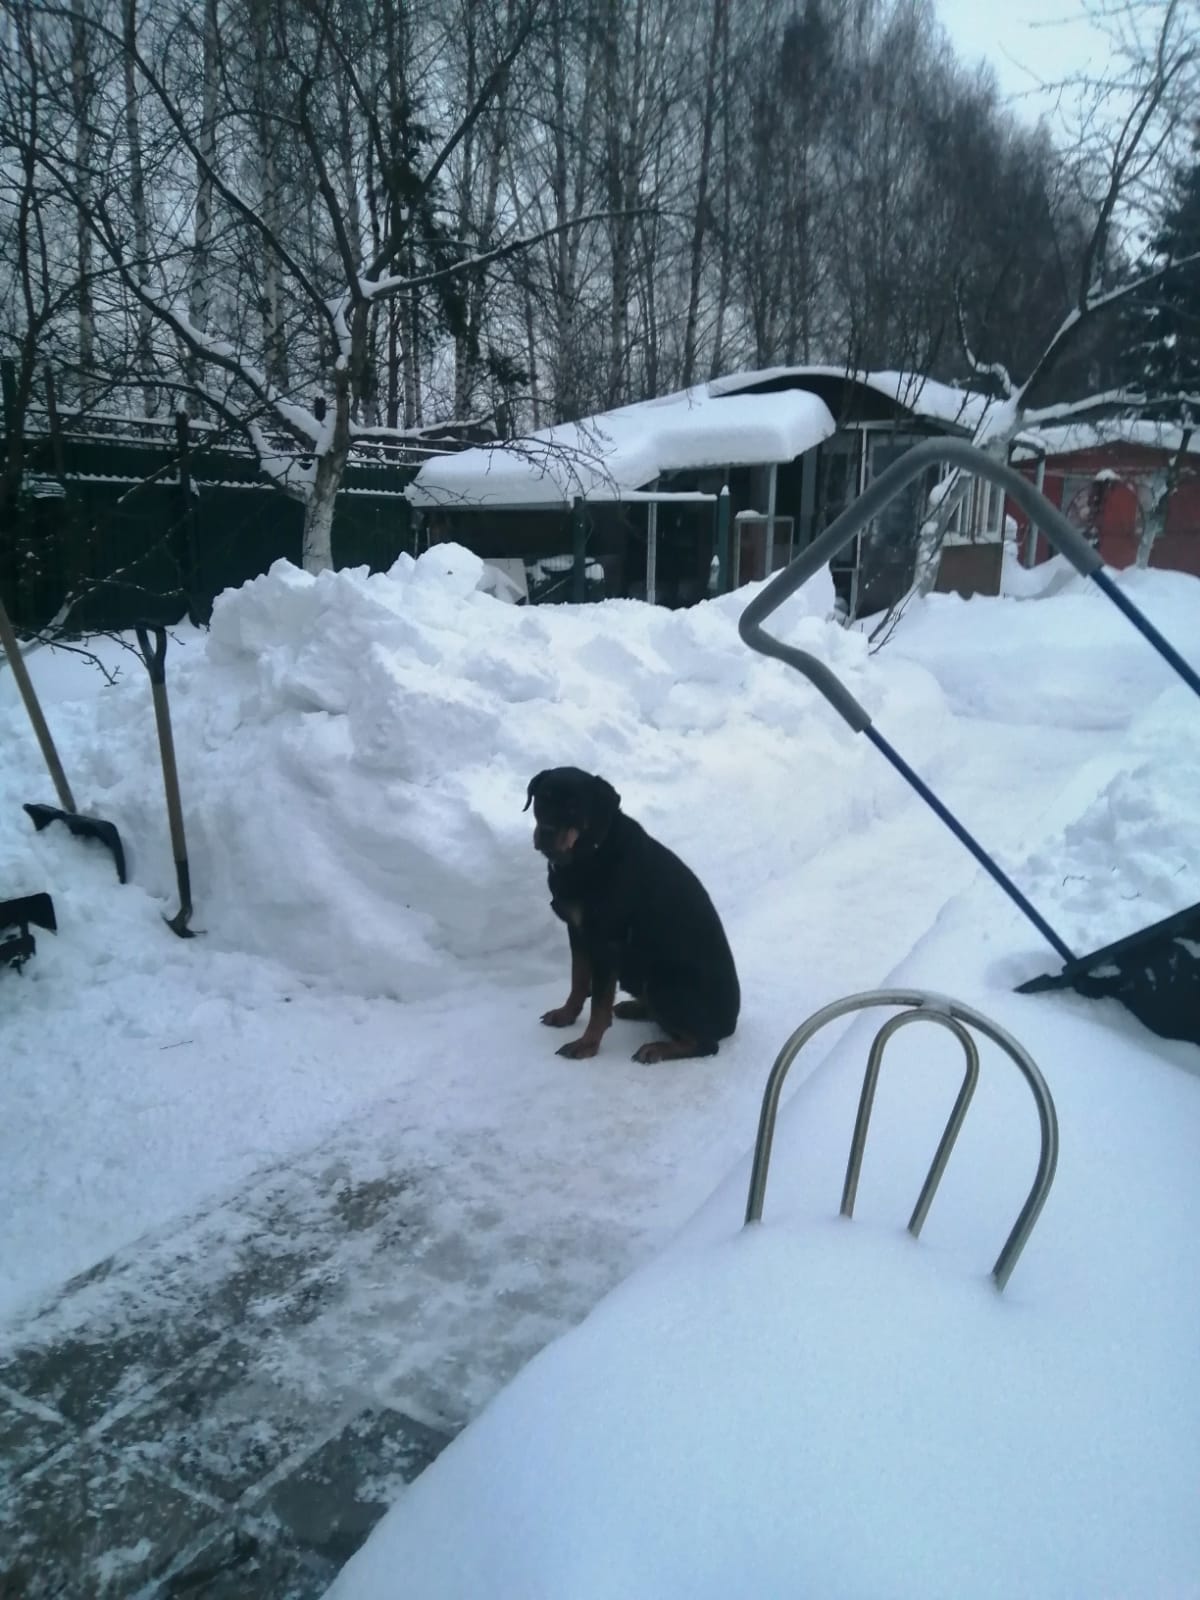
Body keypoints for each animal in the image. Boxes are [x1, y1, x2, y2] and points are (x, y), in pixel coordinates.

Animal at [525, 767, 740, 1062]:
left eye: (573, 807)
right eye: (541, 800)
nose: (546, 832)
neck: (589, 854)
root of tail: (731, 1023)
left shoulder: (607, 941)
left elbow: (599, 1003)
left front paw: (586, 1044)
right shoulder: (578, 931)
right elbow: (578, 979)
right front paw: (566, 1014)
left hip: (663, 981)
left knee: (706, 1043)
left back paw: (656, 1048)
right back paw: (635, 1009)